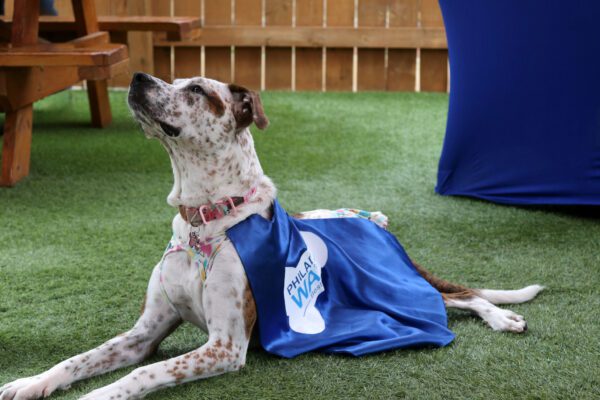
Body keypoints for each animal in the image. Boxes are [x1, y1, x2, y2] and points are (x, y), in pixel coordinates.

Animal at [0, 73, 544, 400]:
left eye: (197, 89)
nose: (138, 77)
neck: (204, 221)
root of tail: (370, 221)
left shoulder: (224, 346)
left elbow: (141, 373)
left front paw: (98, 394)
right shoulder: (145, 331)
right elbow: (78, 359)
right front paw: (32, 381)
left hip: (396, 289)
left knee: (463, 295)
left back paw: (502, 317)